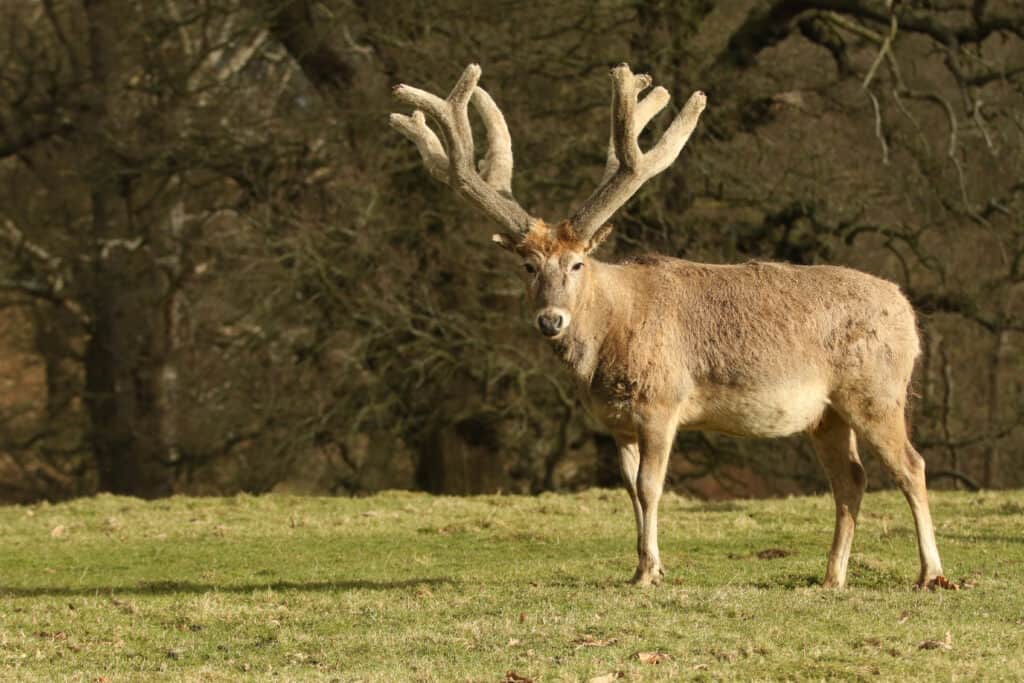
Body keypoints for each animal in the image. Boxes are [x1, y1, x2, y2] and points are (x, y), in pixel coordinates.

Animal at [387, 61, 946, 589]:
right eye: (528, 266)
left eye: (577, 263)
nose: (551, 319)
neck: (612, 335)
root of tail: (908, 313)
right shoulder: (615, 421)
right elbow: (630, 491)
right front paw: (643, 566)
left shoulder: (663, 400)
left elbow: (652, 487)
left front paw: (649, 571)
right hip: (827, 413)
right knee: (851, 479)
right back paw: (832, 578)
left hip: (876, 390)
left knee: (911, 466)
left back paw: (931, 575)